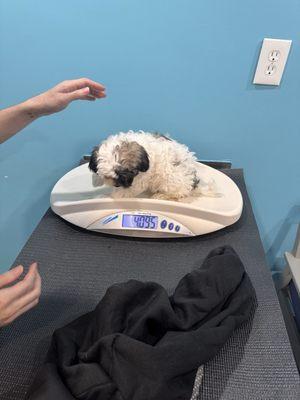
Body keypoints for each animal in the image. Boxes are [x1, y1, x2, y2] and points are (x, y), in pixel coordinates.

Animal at [88, 130, 217, 200]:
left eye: (129, 173)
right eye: (109, 176)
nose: (117, 185)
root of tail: (194, 184)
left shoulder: (140, 179)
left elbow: (128, 191)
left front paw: (108, 197)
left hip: (171, 181)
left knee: (178, 194)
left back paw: (162, 196)